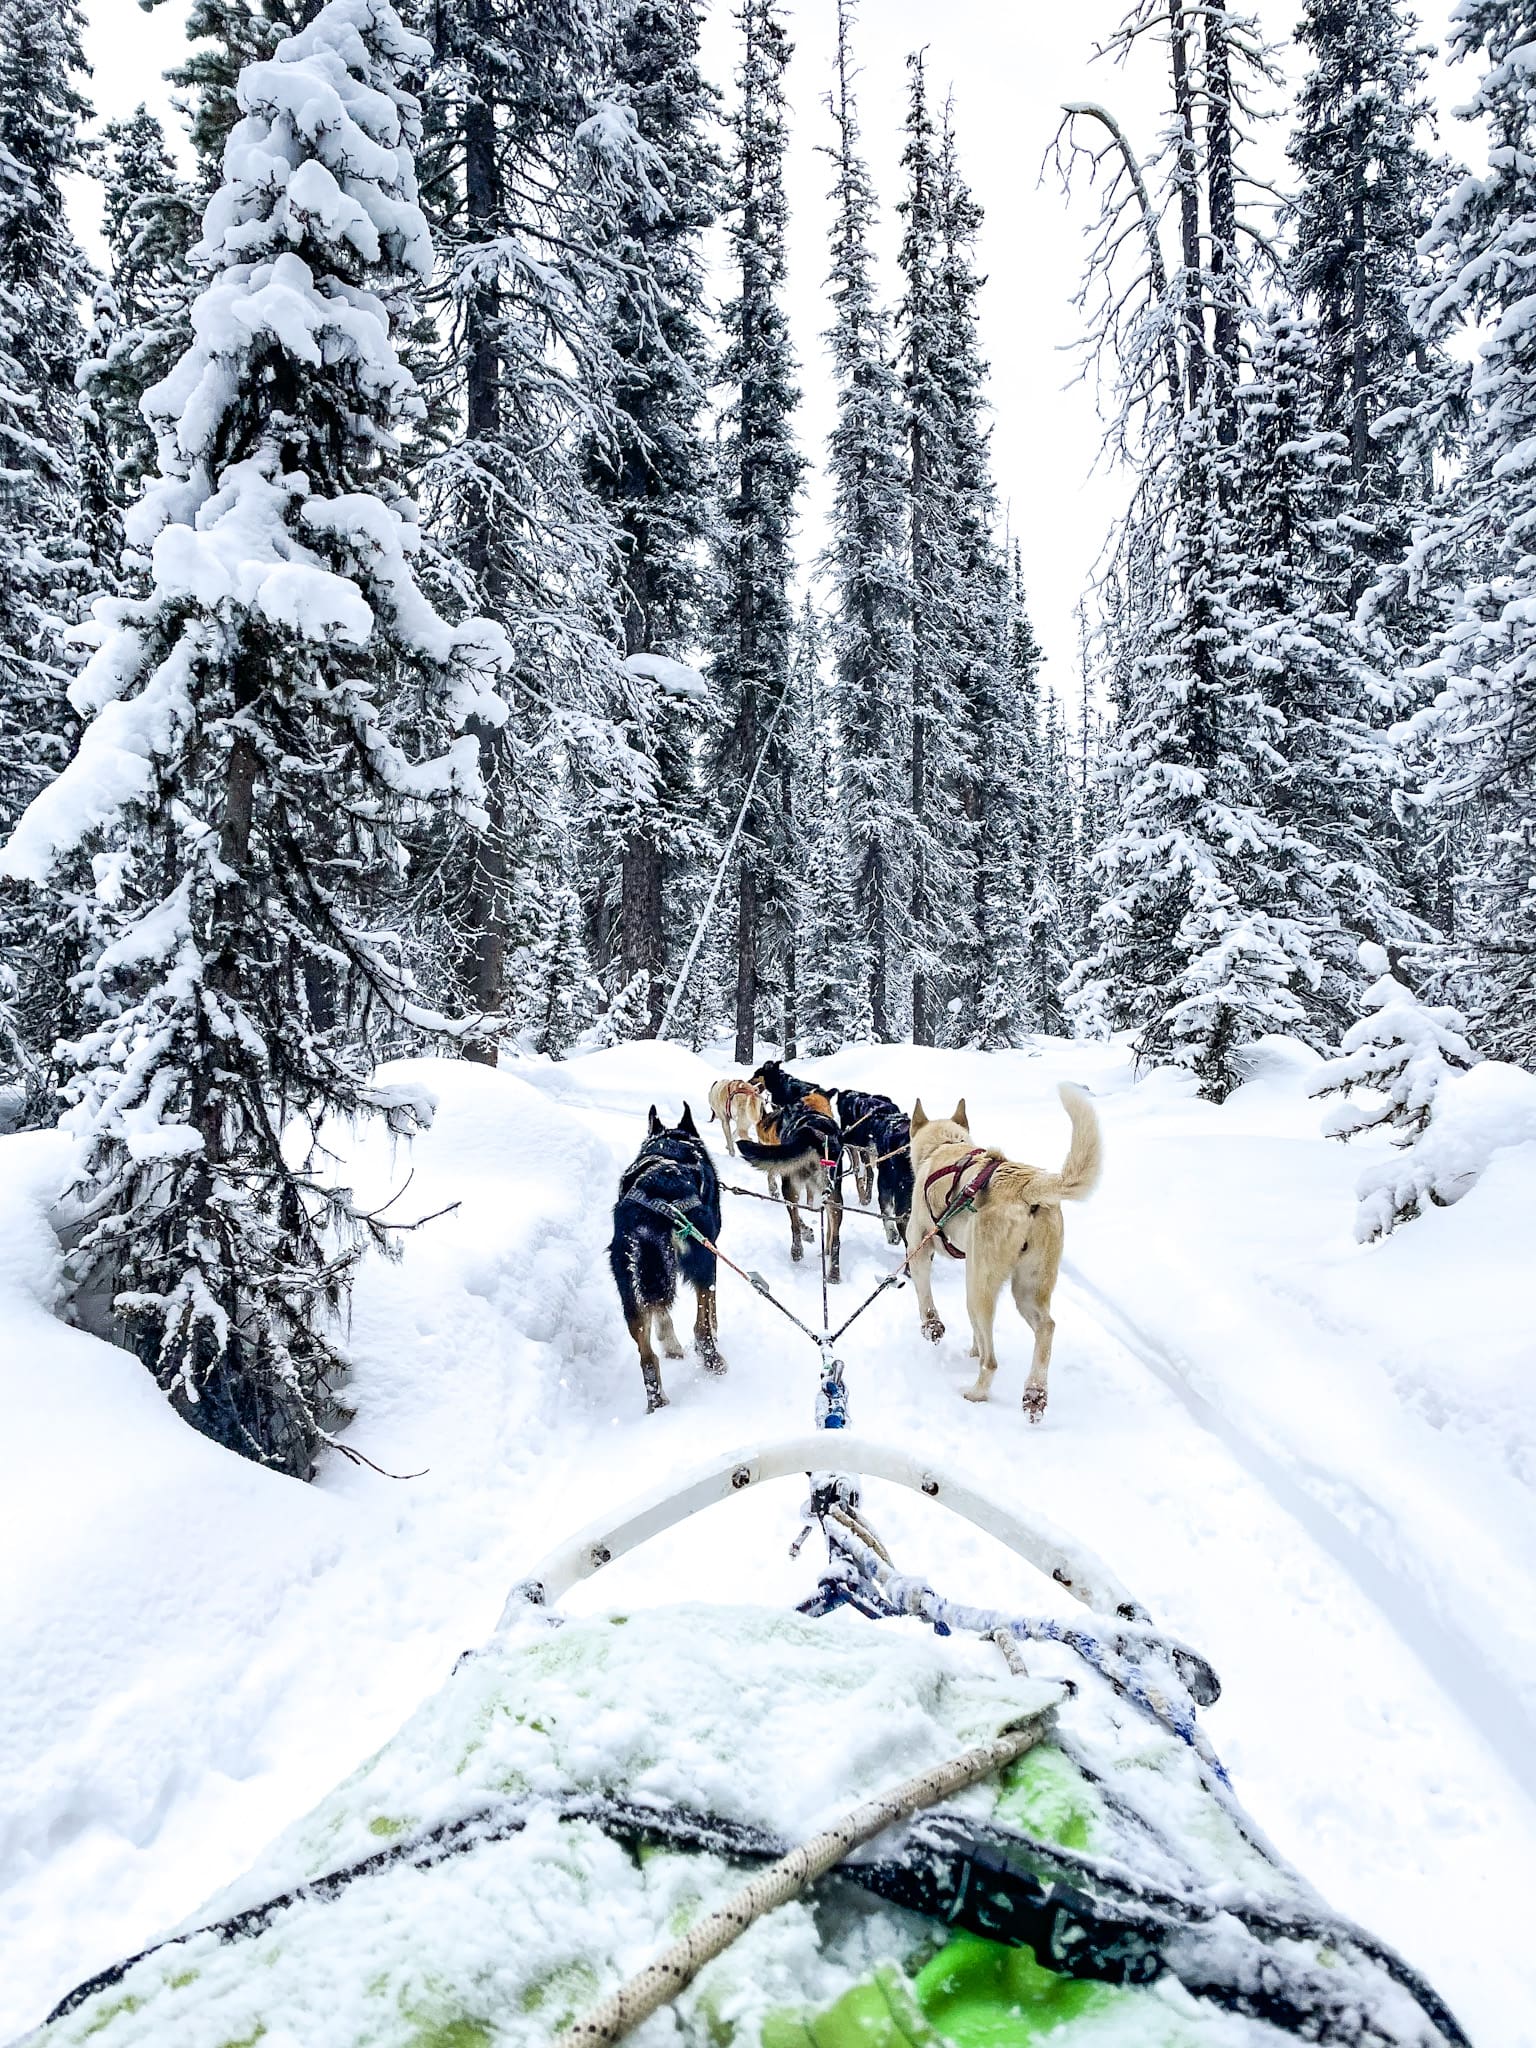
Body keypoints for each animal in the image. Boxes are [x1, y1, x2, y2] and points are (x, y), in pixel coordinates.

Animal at [610, 1105, 724, 1409]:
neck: (672, 1143)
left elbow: (660, 1312)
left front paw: (670, 1345)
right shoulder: (712, 1253)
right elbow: (711, 1313)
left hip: (631, 1284)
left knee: (647, 1357)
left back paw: (657, 1402)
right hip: (703, 1261)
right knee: (700, 1329)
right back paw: (715, 1361)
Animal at [909, 1089, 1097, 1425]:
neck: (945, 1147)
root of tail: (1028, 1186)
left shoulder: (918, 1248)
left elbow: (925, 1301)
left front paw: (931, 1328)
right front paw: (970, 1349)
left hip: (979, 1288)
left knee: (991, 1360)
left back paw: (977, 1392)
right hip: (1026, 1287)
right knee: (1046, 1327)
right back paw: (1034, 1393)